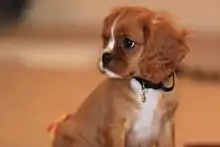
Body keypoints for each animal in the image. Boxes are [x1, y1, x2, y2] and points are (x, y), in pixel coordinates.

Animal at [50, 6, 189, 147]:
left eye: (128, 43)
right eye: (106, 39)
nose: (104, 56)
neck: (145, 86)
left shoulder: (165, 125)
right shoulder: (116, 128)